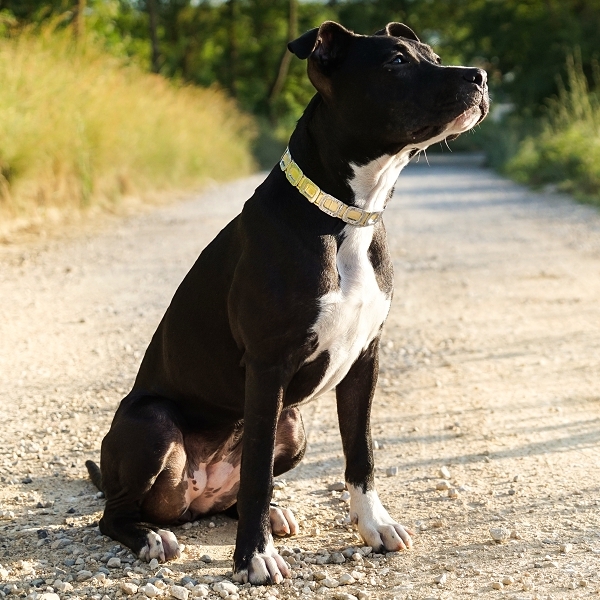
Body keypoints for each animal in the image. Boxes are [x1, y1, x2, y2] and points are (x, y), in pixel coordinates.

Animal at [85, 19, 488, 584]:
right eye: (396, 62)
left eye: (431, 53)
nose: (480, 75)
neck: (346, 215)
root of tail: (192, 500)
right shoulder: (268, 366)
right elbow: (257, 472)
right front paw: (252, 557)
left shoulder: (365, 359)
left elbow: (361, 452)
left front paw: (374, 526)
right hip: (154, 425)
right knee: (115, 513)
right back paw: (149, 536)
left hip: (292, 425)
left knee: (231, 497)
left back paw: (267, 514)